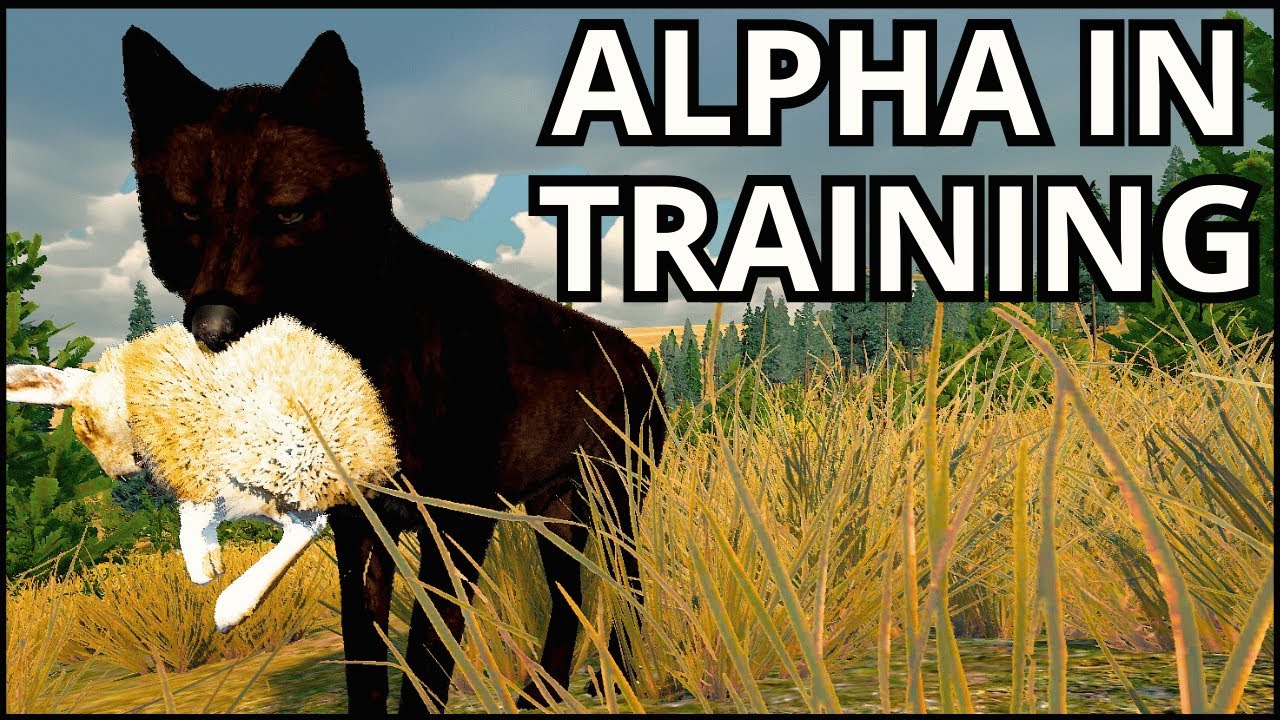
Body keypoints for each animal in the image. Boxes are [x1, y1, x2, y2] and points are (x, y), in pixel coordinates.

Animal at [121, 27, 665, 713]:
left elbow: (427, 662)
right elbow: (366, 664)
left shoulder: (453, 525)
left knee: (628, 585)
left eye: (289, 213)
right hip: (558, 518)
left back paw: (620, 675)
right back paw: (542, 696)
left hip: (616, 509)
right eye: (190, 214)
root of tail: (641, 356)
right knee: (570, 598)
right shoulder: (360, 531)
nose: (211, 329)